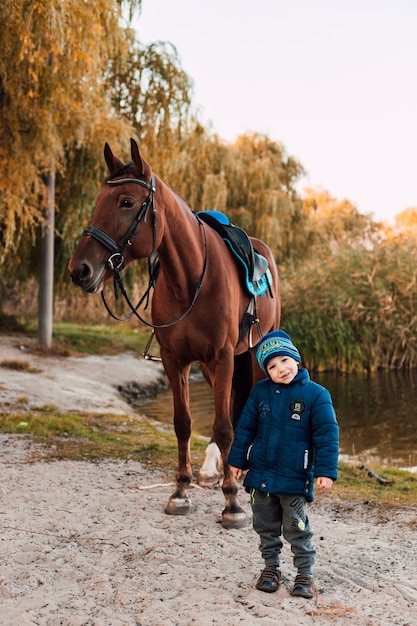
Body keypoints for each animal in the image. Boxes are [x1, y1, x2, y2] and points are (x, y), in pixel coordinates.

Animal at [68, 138, 280, 528]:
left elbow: (223, 427)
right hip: (213, 368)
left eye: (126, 202)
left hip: (252, 355)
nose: (80, 270)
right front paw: (181, 491)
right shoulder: (176, 360)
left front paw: (232, 502)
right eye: (98, 201)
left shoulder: (222, 357)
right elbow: (184, 423)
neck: (192, 279)